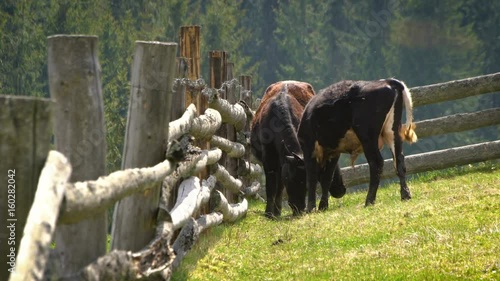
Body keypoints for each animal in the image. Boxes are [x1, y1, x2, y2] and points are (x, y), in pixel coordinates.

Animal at [252, 80, 314, 217]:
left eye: (306, 182)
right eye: (292, 180)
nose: (299, 208)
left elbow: (279, 184)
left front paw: (275, 210)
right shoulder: (268, 158)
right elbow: (270, 185)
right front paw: (268, 213)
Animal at [296, 77, 418, 211]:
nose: (341, 191)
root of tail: (387, 81)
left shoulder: (309, 147)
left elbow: (312, 178)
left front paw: (311, 208)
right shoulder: (333, 151)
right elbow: (326, 178)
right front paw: (323, 206)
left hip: (367, 137)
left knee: (376, 163)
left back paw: (369, 200)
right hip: (392, 131)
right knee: (399, 161)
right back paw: (405, 195)